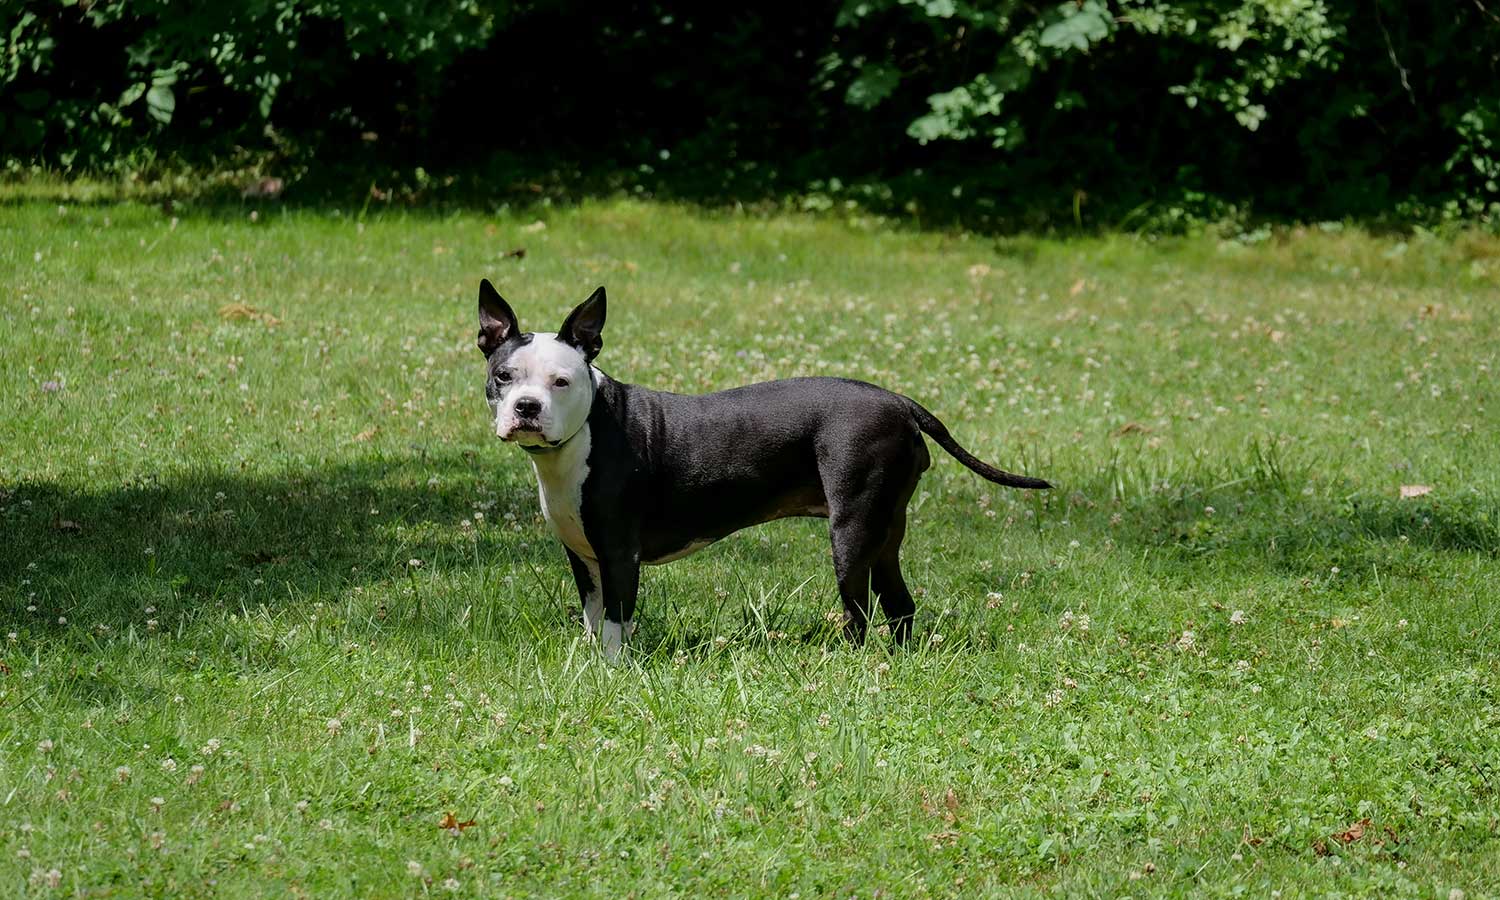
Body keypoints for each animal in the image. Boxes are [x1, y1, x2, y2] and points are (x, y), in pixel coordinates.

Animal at [474, 277, 1050, 657]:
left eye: (562, 381)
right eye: (504, 376)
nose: (527, 407)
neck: (586, 432)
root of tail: (900, 402)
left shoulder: (619, 556)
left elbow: (616, 627)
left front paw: (614, 674)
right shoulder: (585, 559)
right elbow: (595, 621)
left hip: (851, 533)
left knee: (860, 612)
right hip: (884, 535)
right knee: (899, 605)